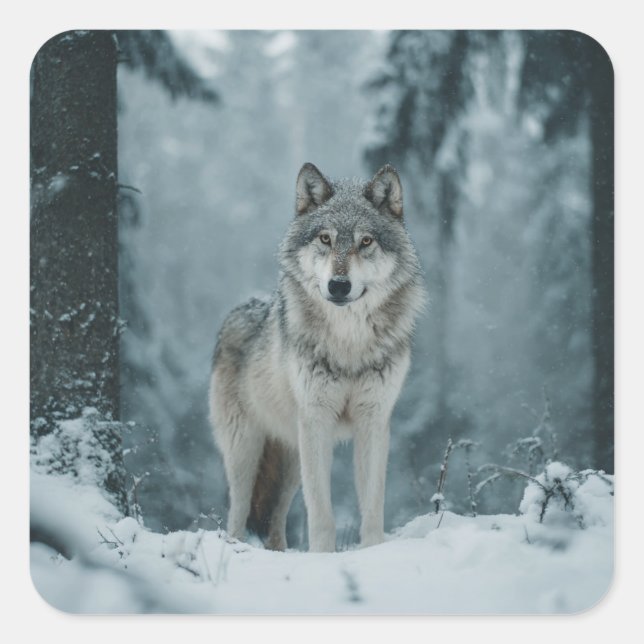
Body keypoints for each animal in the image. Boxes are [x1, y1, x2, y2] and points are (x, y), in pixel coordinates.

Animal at [209, 163, 425, 552]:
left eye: (365, 241)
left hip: (291, 460)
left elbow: (373, 504)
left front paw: (373, 551)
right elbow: (321, 511)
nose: (338, 285)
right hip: (247, 450)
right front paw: (323, 556)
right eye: (325, 239)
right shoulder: (317, 420)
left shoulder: (374, 421)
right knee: (238, 511)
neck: (349, 343)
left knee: (275, 519)